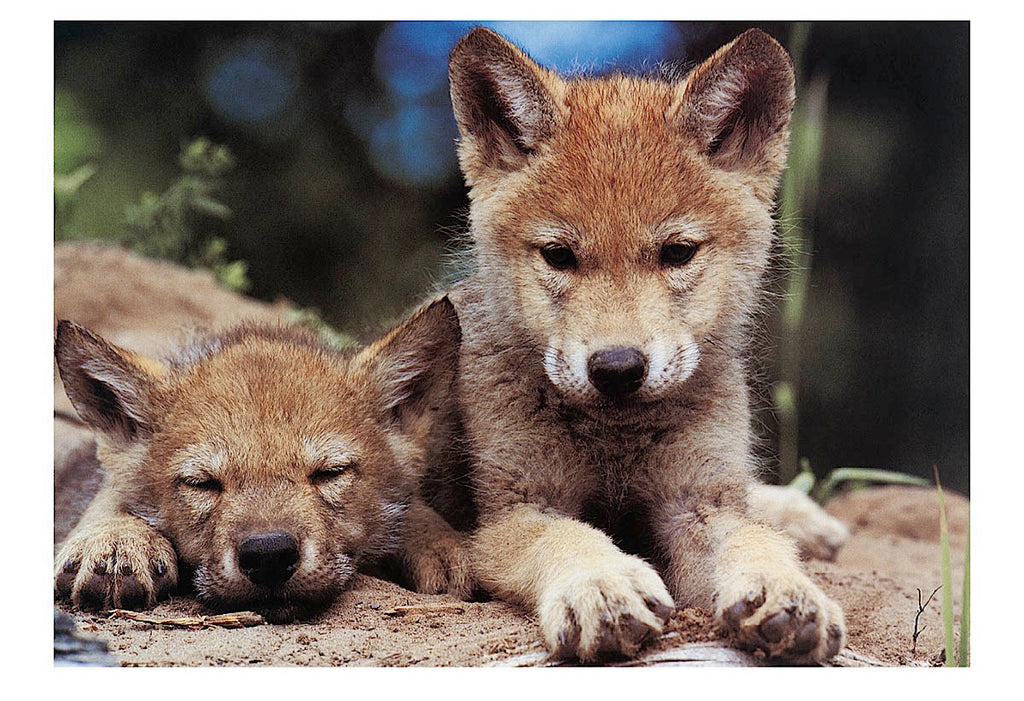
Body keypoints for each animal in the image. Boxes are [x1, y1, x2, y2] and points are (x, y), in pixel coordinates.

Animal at [444, 26, 846, 663]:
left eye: (677, 252)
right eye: (559, 256)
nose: (616, 368)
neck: (617, 439)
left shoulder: (697, 502)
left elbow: (754, 540)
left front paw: (788, 592)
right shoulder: (517, 509)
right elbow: (570, 537)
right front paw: (602, 588)